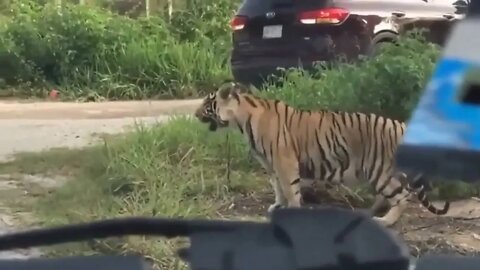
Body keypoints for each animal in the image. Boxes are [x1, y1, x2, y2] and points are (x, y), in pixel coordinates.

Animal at [193, 81, 448, 227]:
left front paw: (291, 210)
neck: (241, 120)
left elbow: (290, 189)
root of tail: (403, 125)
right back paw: (369, 212)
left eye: (207, 103)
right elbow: (277, 187)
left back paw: (385, 221)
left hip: (380, 169)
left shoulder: (284, 161)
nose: (194, 114)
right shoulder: (271, 163)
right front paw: (277, 206)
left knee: (402, 196)